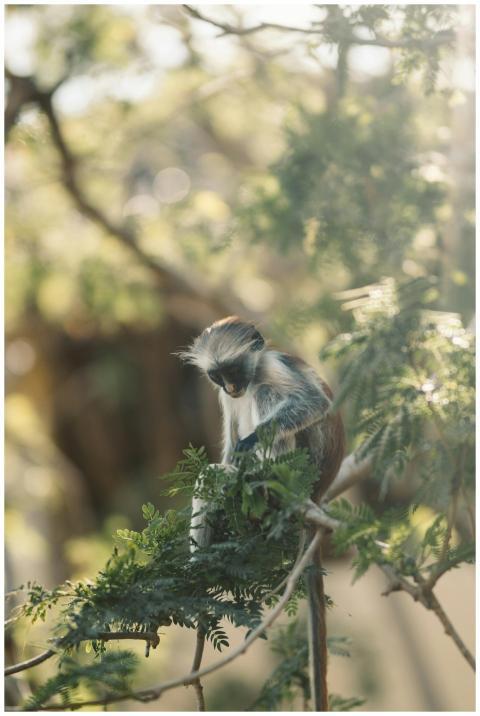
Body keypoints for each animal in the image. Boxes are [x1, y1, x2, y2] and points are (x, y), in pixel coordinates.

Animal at [179, 316, 345, 710]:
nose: (233, 386)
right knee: (211, 475)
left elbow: (314, 403)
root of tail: (318, 491)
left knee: (270, 397)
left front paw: (250, 444)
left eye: (235, 370)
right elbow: (226, 450)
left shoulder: (270, 366)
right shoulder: (226, 398)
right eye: (217, 376)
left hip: (302, 466)